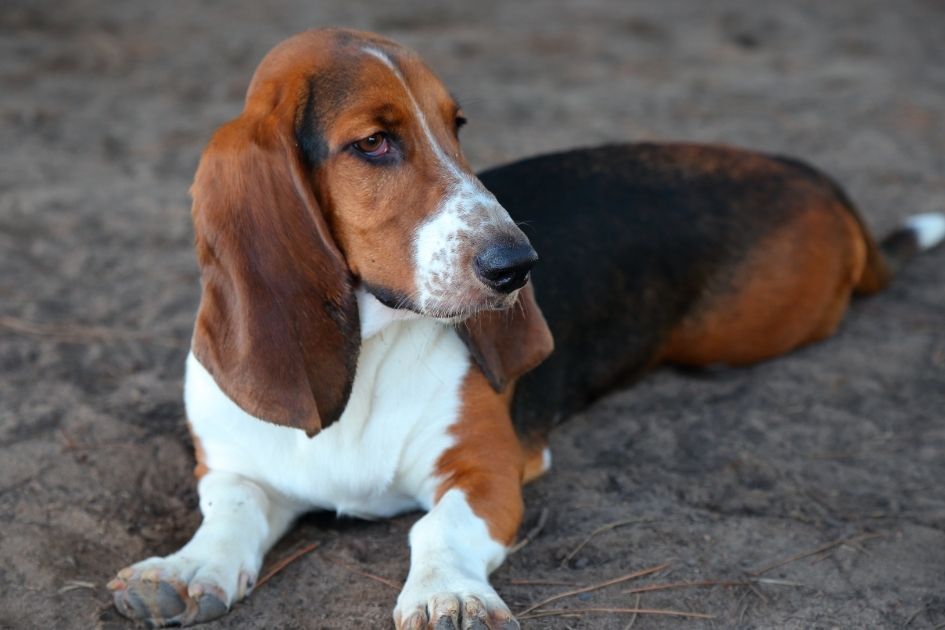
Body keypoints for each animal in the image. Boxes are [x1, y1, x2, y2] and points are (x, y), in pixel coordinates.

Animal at [107, 27, 940, 628]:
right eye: (373, 142)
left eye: (457, 125)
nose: (517, 265)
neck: (371, 351)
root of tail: (813, 176)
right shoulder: (234, 467)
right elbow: (230, 513)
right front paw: (185, 570)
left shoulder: (487, 471)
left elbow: (433, 530)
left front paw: (448, 596)